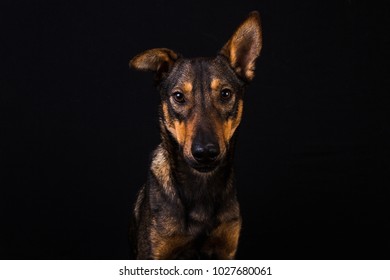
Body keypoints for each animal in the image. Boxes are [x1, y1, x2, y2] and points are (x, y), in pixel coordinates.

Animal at [129, 10, 264, 260]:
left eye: (225, 94)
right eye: (179, 96)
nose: (205, 153)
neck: (201, 183)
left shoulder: (226, 250)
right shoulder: (155, 252)